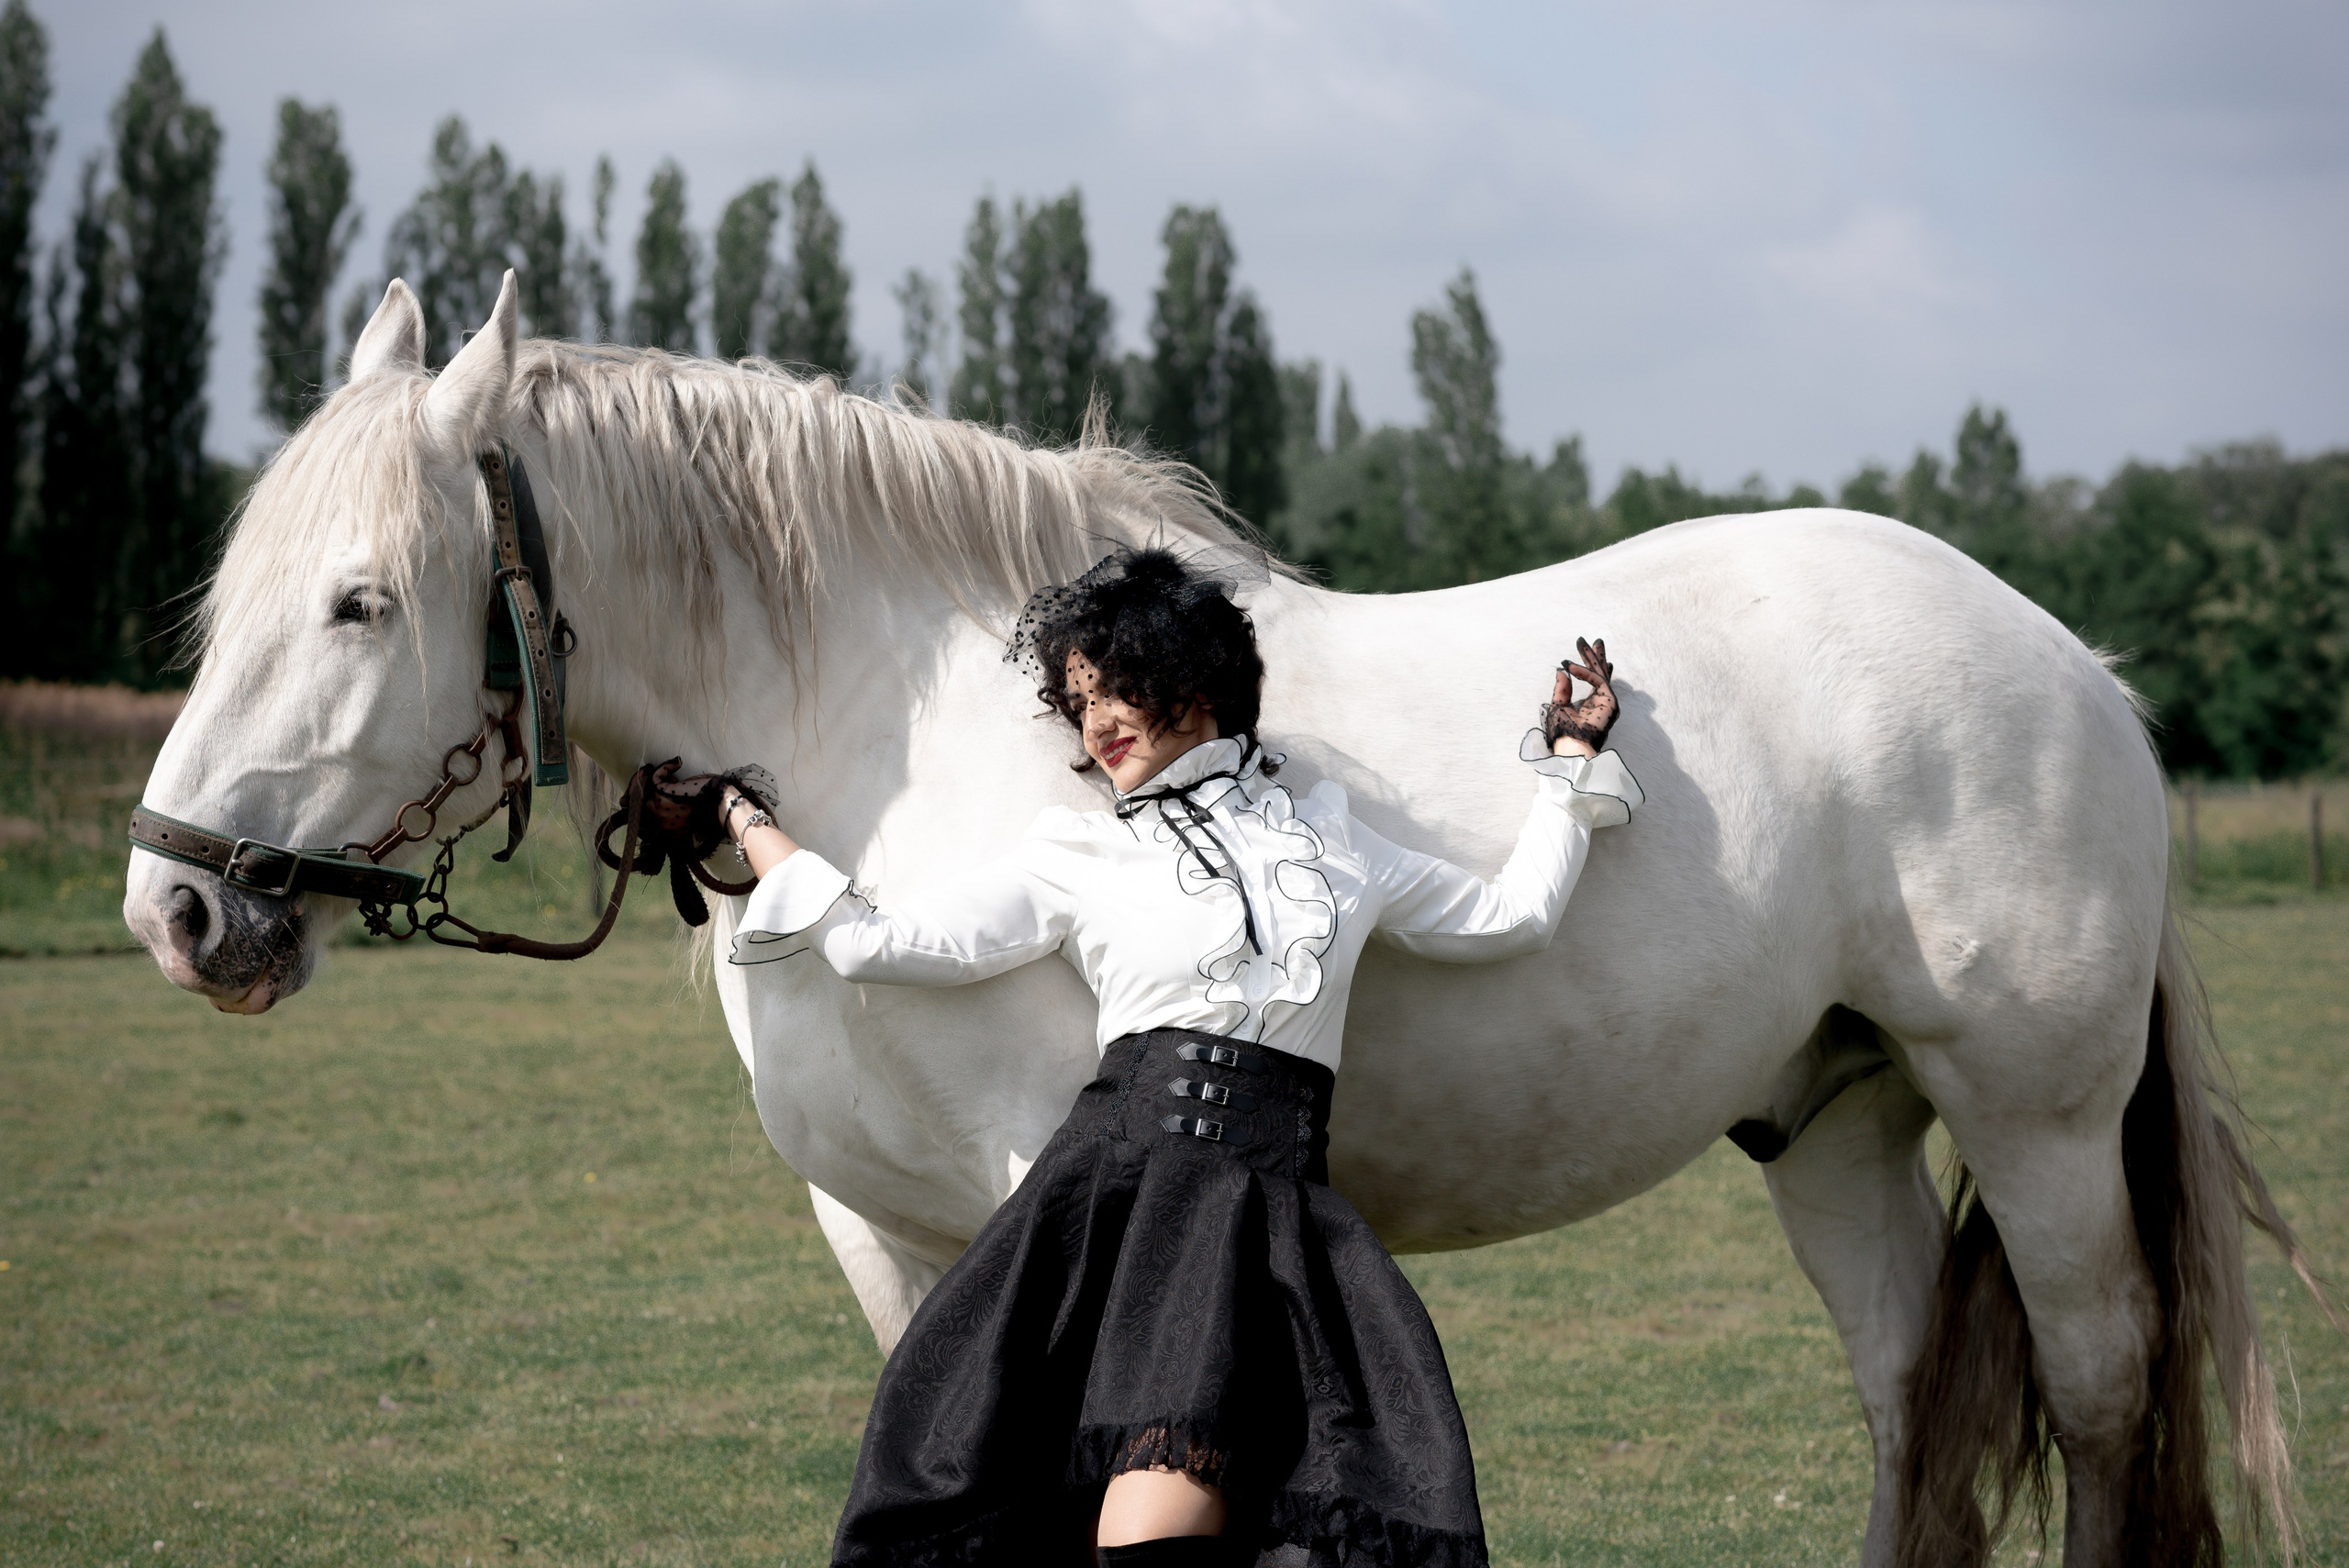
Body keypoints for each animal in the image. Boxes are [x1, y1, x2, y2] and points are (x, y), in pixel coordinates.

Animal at [124, 272, 2329, 1568]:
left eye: (361, 601)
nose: (179, 902)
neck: (895, 734)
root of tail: (2068, 660)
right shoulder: (887, 1233)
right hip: (1836, 1118)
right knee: (1908, 1402)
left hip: (2034, 1119)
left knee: (2100, 1391)